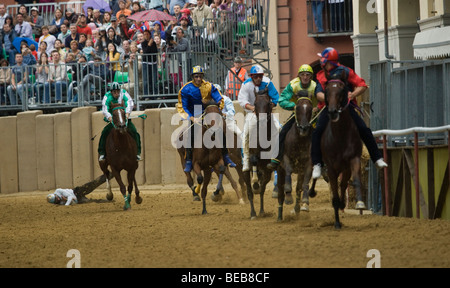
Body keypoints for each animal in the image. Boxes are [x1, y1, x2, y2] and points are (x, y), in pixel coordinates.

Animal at [310, 72, 366, 230]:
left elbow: (354, 181)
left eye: (342, 90)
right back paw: (311, 191)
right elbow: (334, 195)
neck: (340, 135)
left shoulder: (353, 160)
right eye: (327, 91)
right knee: (314, 174)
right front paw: (336, 223)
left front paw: (358, 203)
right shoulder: (331, 168)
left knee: (343, 184)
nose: (332, 111)